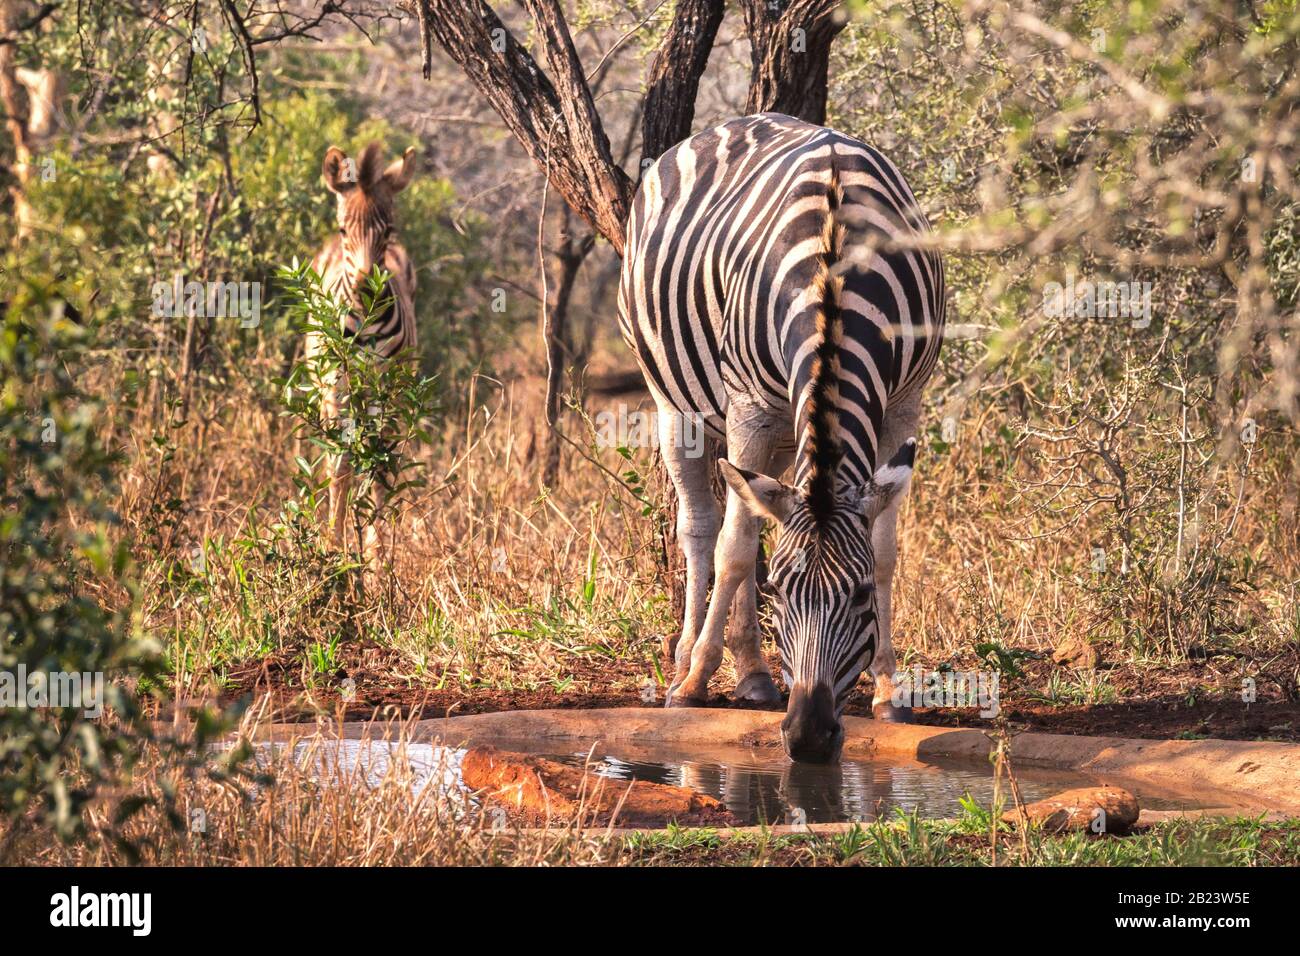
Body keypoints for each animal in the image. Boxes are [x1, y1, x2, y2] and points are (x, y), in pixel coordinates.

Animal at [310, 141, 419, 567]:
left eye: (388, 230)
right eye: (345, 230)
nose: (366, 289)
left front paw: (376, 559)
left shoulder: (389, 387)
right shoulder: (335, 385)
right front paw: (334, 551)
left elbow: (381, 464)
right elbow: (340, 467)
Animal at [617, 113, 944, 762]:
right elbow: (736, 549)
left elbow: (886, 549)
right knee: (703, 528)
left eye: (861, 596)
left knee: (754, 504)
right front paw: (695, 681)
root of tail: (731, 123)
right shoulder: (748, 407)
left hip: (781, 436)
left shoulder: (904, 405)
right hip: (677, 406)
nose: (809, 738)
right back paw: (688, 661)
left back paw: (753, 675)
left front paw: (889, 689)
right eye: (784, 593)